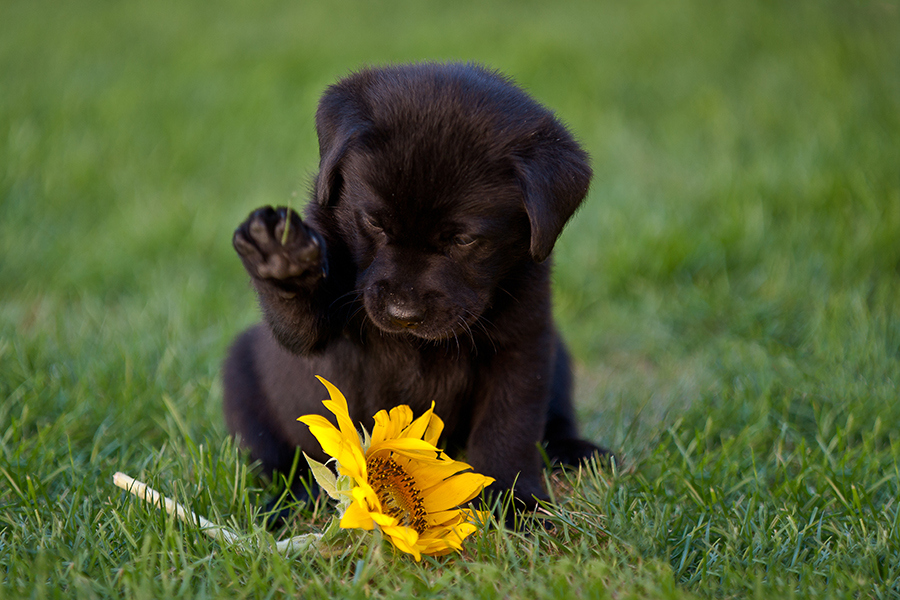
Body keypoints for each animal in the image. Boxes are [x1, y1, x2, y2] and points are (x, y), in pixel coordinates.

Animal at [224, 61, 600, 512]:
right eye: (374, 222)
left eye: (463, 240)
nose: (403, 313)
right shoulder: (324, 333)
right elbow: (300, 325)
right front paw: (279, 256)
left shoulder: (523, 344)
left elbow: (509, 429)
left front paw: (514, 503)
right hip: (242, 376)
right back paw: (290, 501)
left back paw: (576, 452)